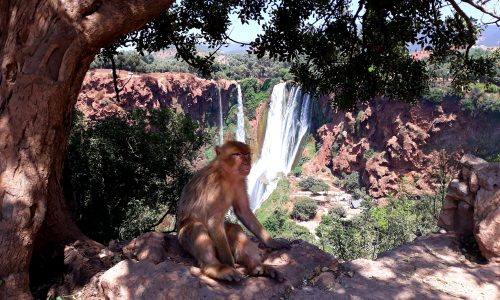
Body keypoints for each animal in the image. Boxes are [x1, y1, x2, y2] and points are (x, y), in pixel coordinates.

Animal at [179, 141, 292, 282]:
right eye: (237, 154)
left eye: (247, 154)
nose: (247, 162)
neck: (227, 175)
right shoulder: (214, 185)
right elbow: (214, 220)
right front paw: (230, 265)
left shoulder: (240, 182)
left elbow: (243, 211)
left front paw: (272, 242)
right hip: (184, 240)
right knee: (197, 227)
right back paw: (216, 268)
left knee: (234, 228)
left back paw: (257, 267)